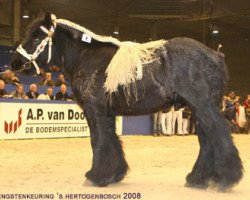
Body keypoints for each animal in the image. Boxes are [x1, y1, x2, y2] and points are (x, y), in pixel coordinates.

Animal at [11, 13, 242, 191]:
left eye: (37, 37)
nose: (15, 63)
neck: (86, 57)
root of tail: (217, 55)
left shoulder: (95, 111)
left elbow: (98, 142)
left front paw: (96, 177)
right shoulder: (107, 114)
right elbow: (111, 141)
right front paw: (114, 174)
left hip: (203, 107)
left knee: (219, 136)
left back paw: (226, 179)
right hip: (198, 109)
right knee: (207, 141)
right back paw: (198, 179)